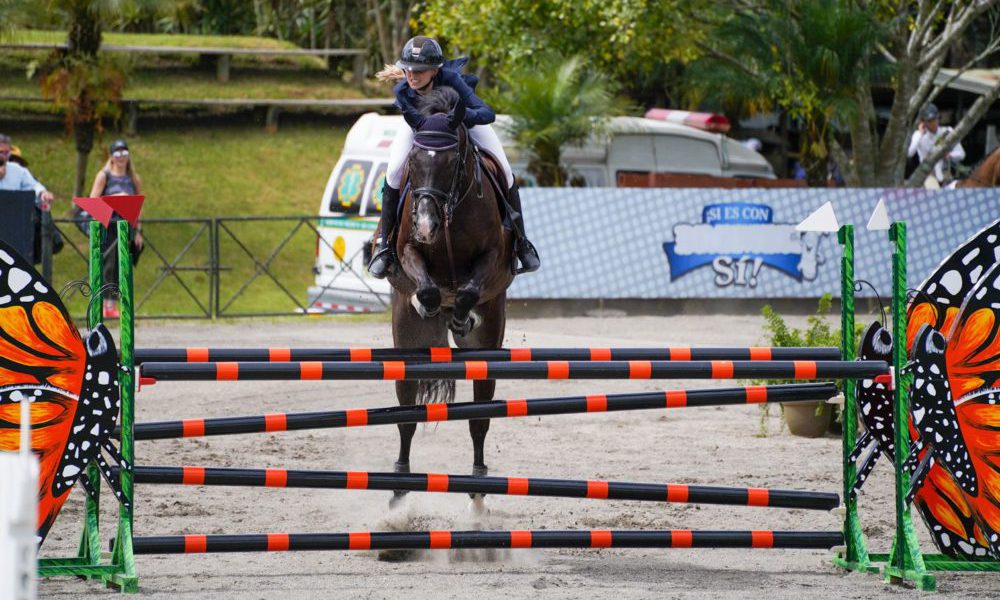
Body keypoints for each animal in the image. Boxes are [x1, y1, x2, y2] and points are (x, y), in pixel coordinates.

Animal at [384, 86, 516, 508]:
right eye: (412, 162)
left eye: (453, 160)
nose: (426, 226)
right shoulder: (409, 249)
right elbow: (425, 285)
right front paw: (428, 302)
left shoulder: (493, 258)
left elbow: (470, 289)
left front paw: (461, 315)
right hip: (406, 349)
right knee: (406, 417)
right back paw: (399, 487)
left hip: (487, 349)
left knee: (479, 419)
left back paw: (477, 486)